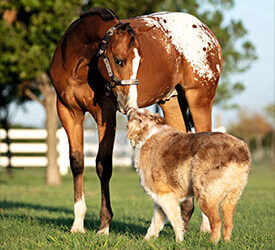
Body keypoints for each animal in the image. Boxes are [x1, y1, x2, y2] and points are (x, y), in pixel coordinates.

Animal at [49, 6, 222, 235]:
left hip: (199, 102)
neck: (78, 63)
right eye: (119, 60)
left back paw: (205, 226)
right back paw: (181, 219)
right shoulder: (68, 111)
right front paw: (78, 224)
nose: (128, 102)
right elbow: (77, 162)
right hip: (172, 104)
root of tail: (205, 31)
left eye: (139, 62)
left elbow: (103, 165)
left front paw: (104, 225)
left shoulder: (105, 114)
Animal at [128, 109, 252, 242]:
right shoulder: (160, 200)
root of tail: (240, 149)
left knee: (217, 221)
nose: (128, 109)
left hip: (204, 194)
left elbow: (176, 221)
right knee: (228, 223)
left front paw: (179, 241)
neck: (148, 133)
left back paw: (211, 243)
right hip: (231, 196)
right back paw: (226, 243)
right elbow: (155, 223)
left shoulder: (165, 195)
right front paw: (146, 241)